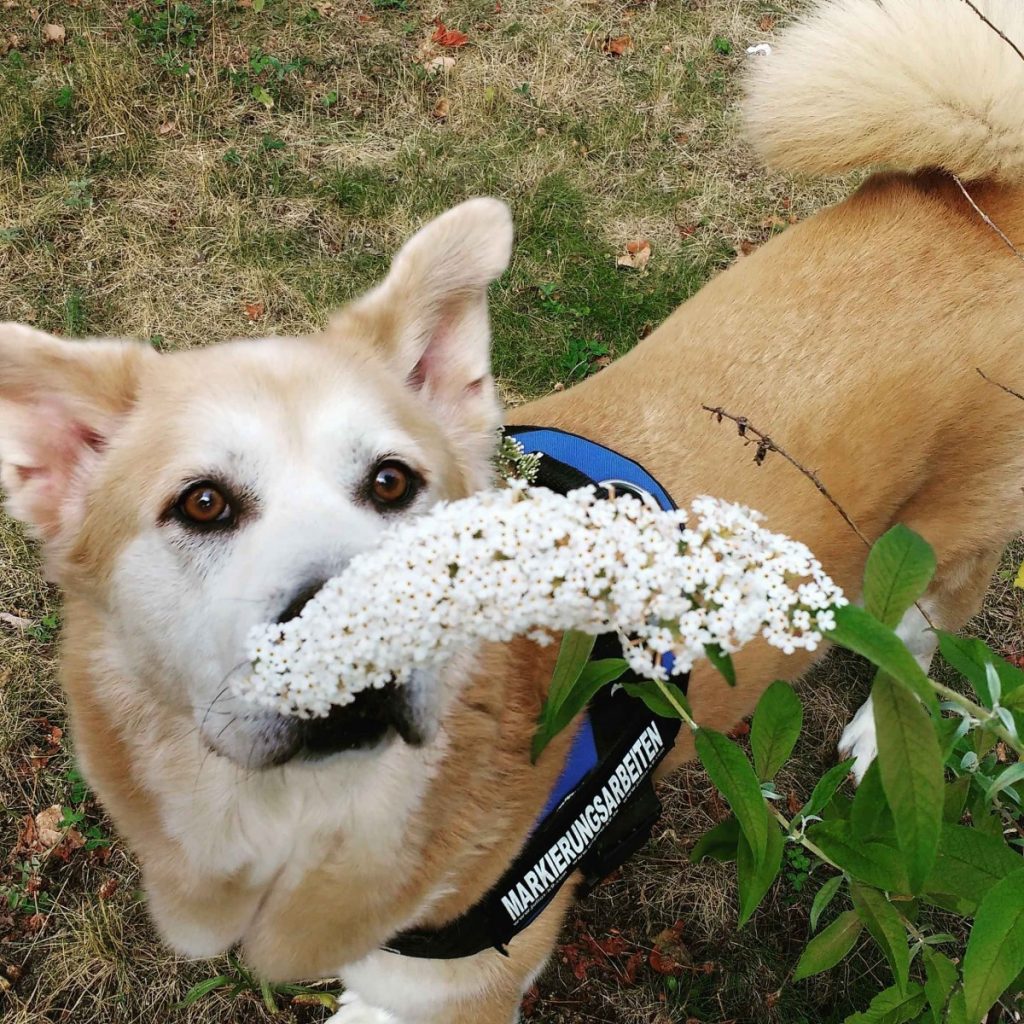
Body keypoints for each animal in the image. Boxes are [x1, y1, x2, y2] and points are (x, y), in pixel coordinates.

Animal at [2, 2, 1024, 1024]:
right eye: (203, 503)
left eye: (392, 483)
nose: (358, 630)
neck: (303, 817)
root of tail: (979, 202)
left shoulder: (472, 985)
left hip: (948, 537)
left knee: (929, 633)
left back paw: (883, 732)